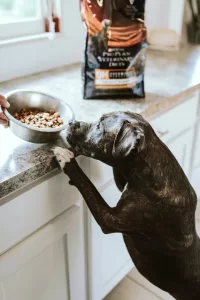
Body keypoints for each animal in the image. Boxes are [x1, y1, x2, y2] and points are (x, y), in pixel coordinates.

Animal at [53, 111, 200, 298]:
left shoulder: (110, 219)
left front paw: (67, 161)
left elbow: (87, 184)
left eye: (99, 127)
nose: (71, 122)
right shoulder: (123, 180)